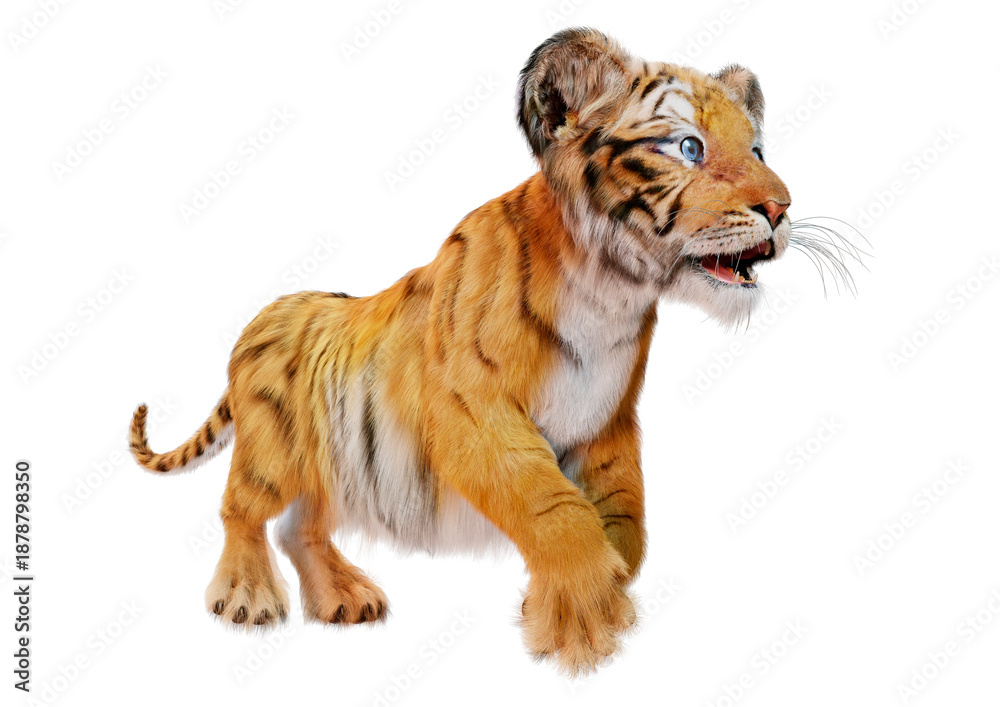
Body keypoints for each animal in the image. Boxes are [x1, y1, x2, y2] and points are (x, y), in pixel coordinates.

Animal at [129, 28, 793, 675]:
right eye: (688, 147)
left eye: (758, 151)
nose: (781, 208)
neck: (613, 293)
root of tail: (261, 318)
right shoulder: (472, 414)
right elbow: (552, 505)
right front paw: (581, 624)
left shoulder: (608, 422)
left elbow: (626, 518)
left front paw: (588, 594)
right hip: (271, 452)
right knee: (240, 508)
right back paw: (246, 596)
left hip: (330, 467)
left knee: (301, 527)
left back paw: (345, 598)